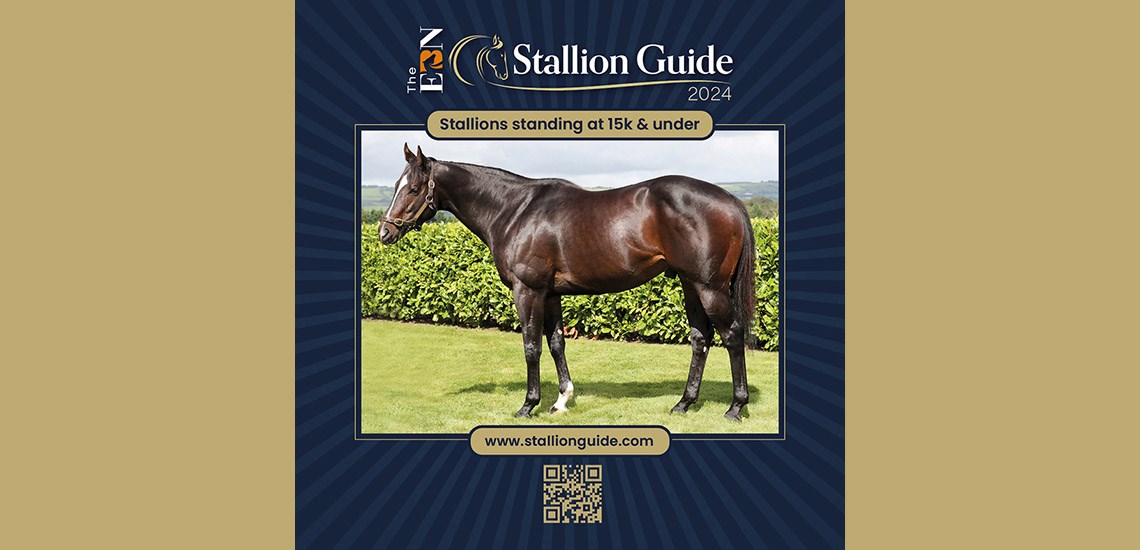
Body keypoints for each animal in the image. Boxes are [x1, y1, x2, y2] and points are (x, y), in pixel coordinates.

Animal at [379, 144, 756, 421]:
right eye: (396, 186)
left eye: (414, 188)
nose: (385, 232)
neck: (515, 210)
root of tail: (732, 200)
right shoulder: (550, 294)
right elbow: (557, 343)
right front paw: (562, 400)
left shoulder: (527, 291)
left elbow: (531, 346)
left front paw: (528, 405)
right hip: (691, 285)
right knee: (700, 338)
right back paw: (684, 403)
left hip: (709, 288)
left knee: (732, 336)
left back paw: (736, 407)